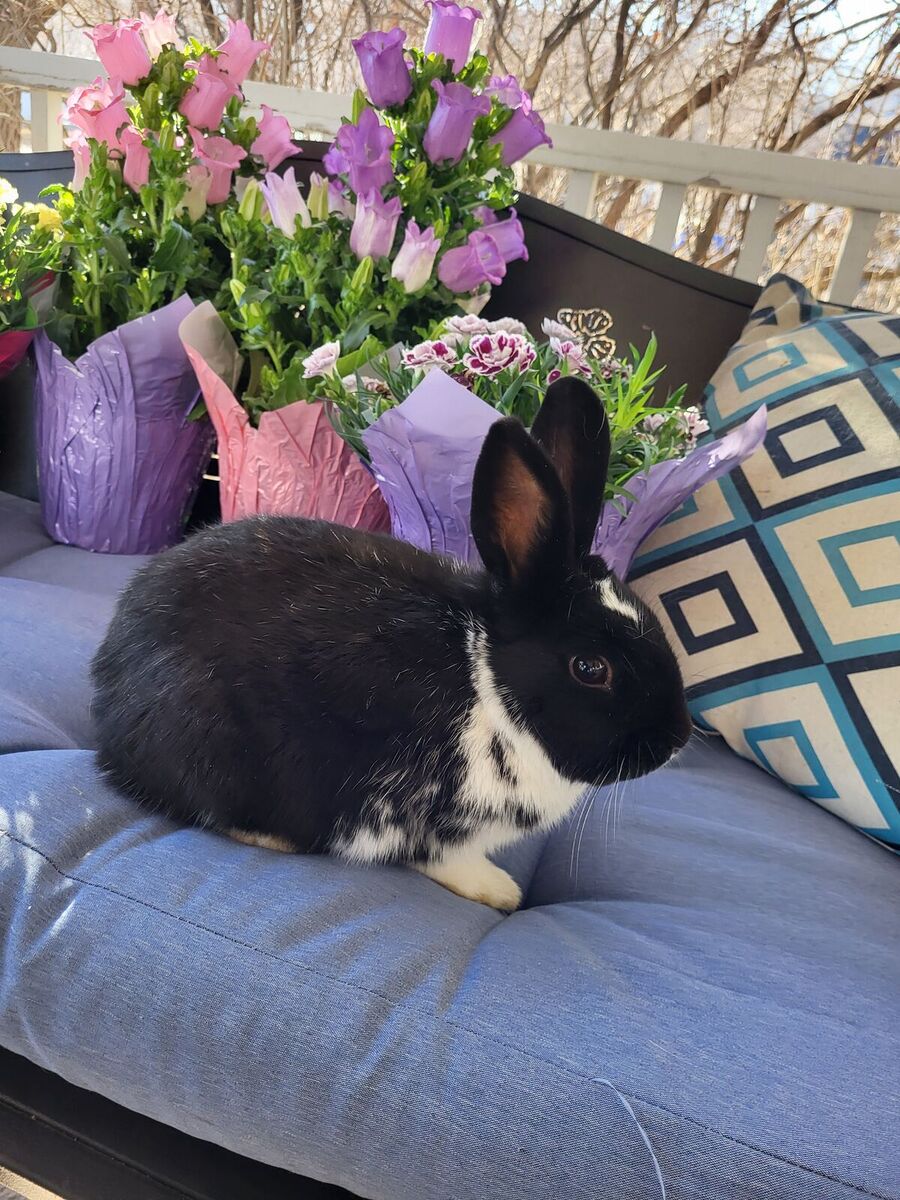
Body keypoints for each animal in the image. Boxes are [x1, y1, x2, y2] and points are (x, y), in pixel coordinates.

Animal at [91, 376, 692, 910]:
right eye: (590, 668)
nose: (677, 739)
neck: (488, 681)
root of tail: (108, 692)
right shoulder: (427, 815)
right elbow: (444, 858)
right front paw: (500, 891)